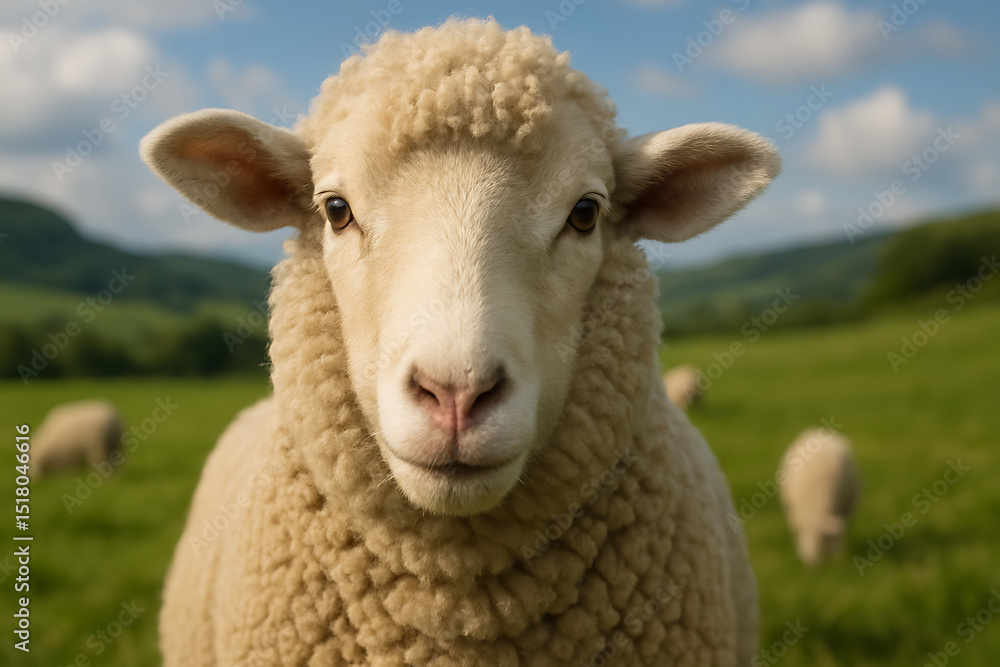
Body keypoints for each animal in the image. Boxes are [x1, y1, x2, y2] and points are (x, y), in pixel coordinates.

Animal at [778, 427, 860, 566]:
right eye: (803, 534)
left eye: (822, 538)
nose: (811, 563)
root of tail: (816, 428)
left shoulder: (843, 511)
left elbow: (840, 536)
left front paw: (838, 558)